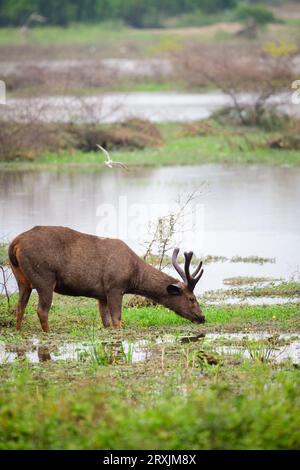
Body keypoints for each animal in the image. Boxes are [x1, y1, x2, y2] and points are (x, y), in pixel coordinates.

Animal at [8, 226, 205, 332]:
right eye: (191, 298)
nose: (202, 317)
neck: (134, 276)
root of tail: (15, 243)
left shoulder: (101, 294)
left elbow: (106, 322)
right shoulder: (114, 286)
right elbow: (117, 320)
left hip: (22, 279)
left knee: (20, 306)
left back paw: (18, 331)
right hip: (44, 277)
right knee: (42, 310)